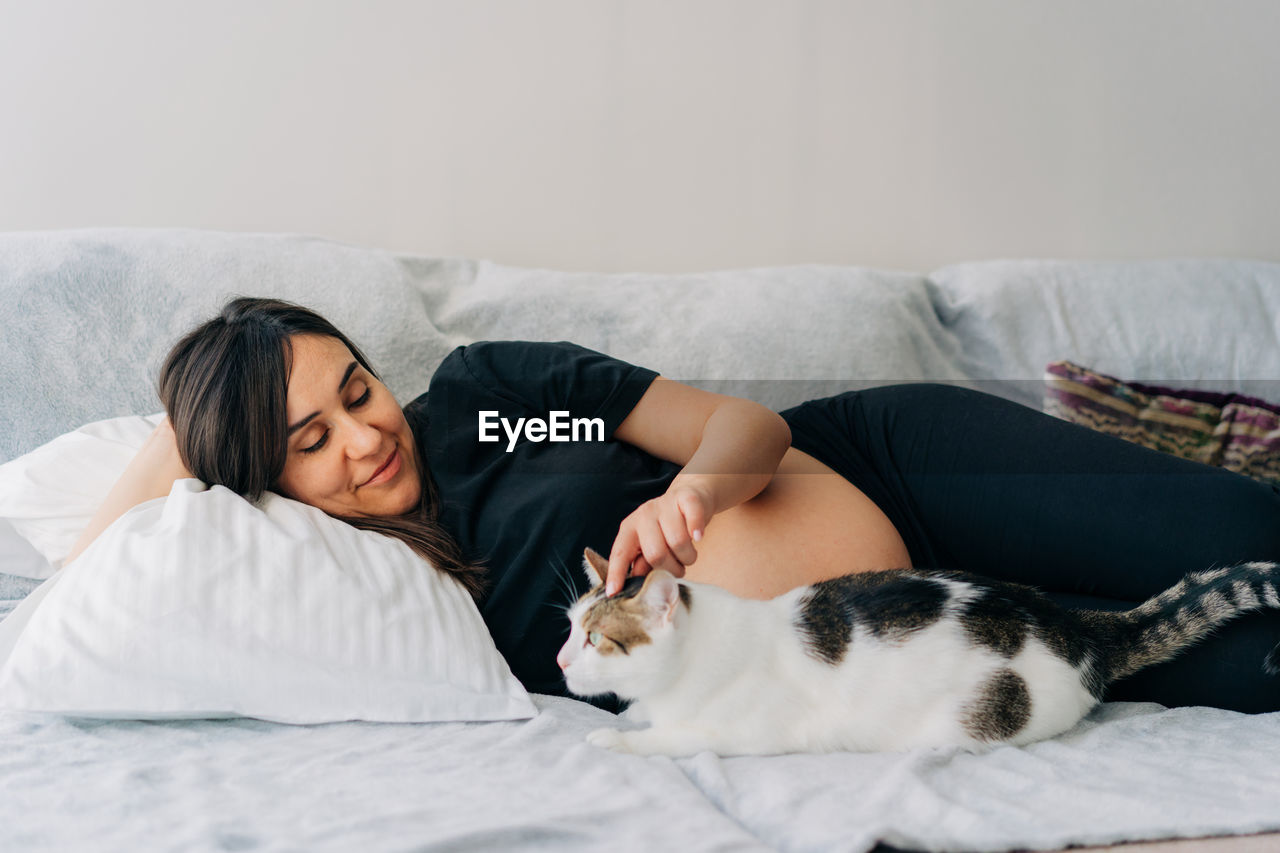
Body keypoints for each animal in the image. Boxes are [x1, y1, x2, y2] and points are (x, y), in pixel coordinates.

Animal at [560, 545, 1280, 753]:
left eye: (596, 638)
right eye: (569, 626)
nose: (562, 659)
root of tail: (1076, 624)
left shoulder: (743, 733)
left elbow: (666, 740)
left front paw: (609, 737)